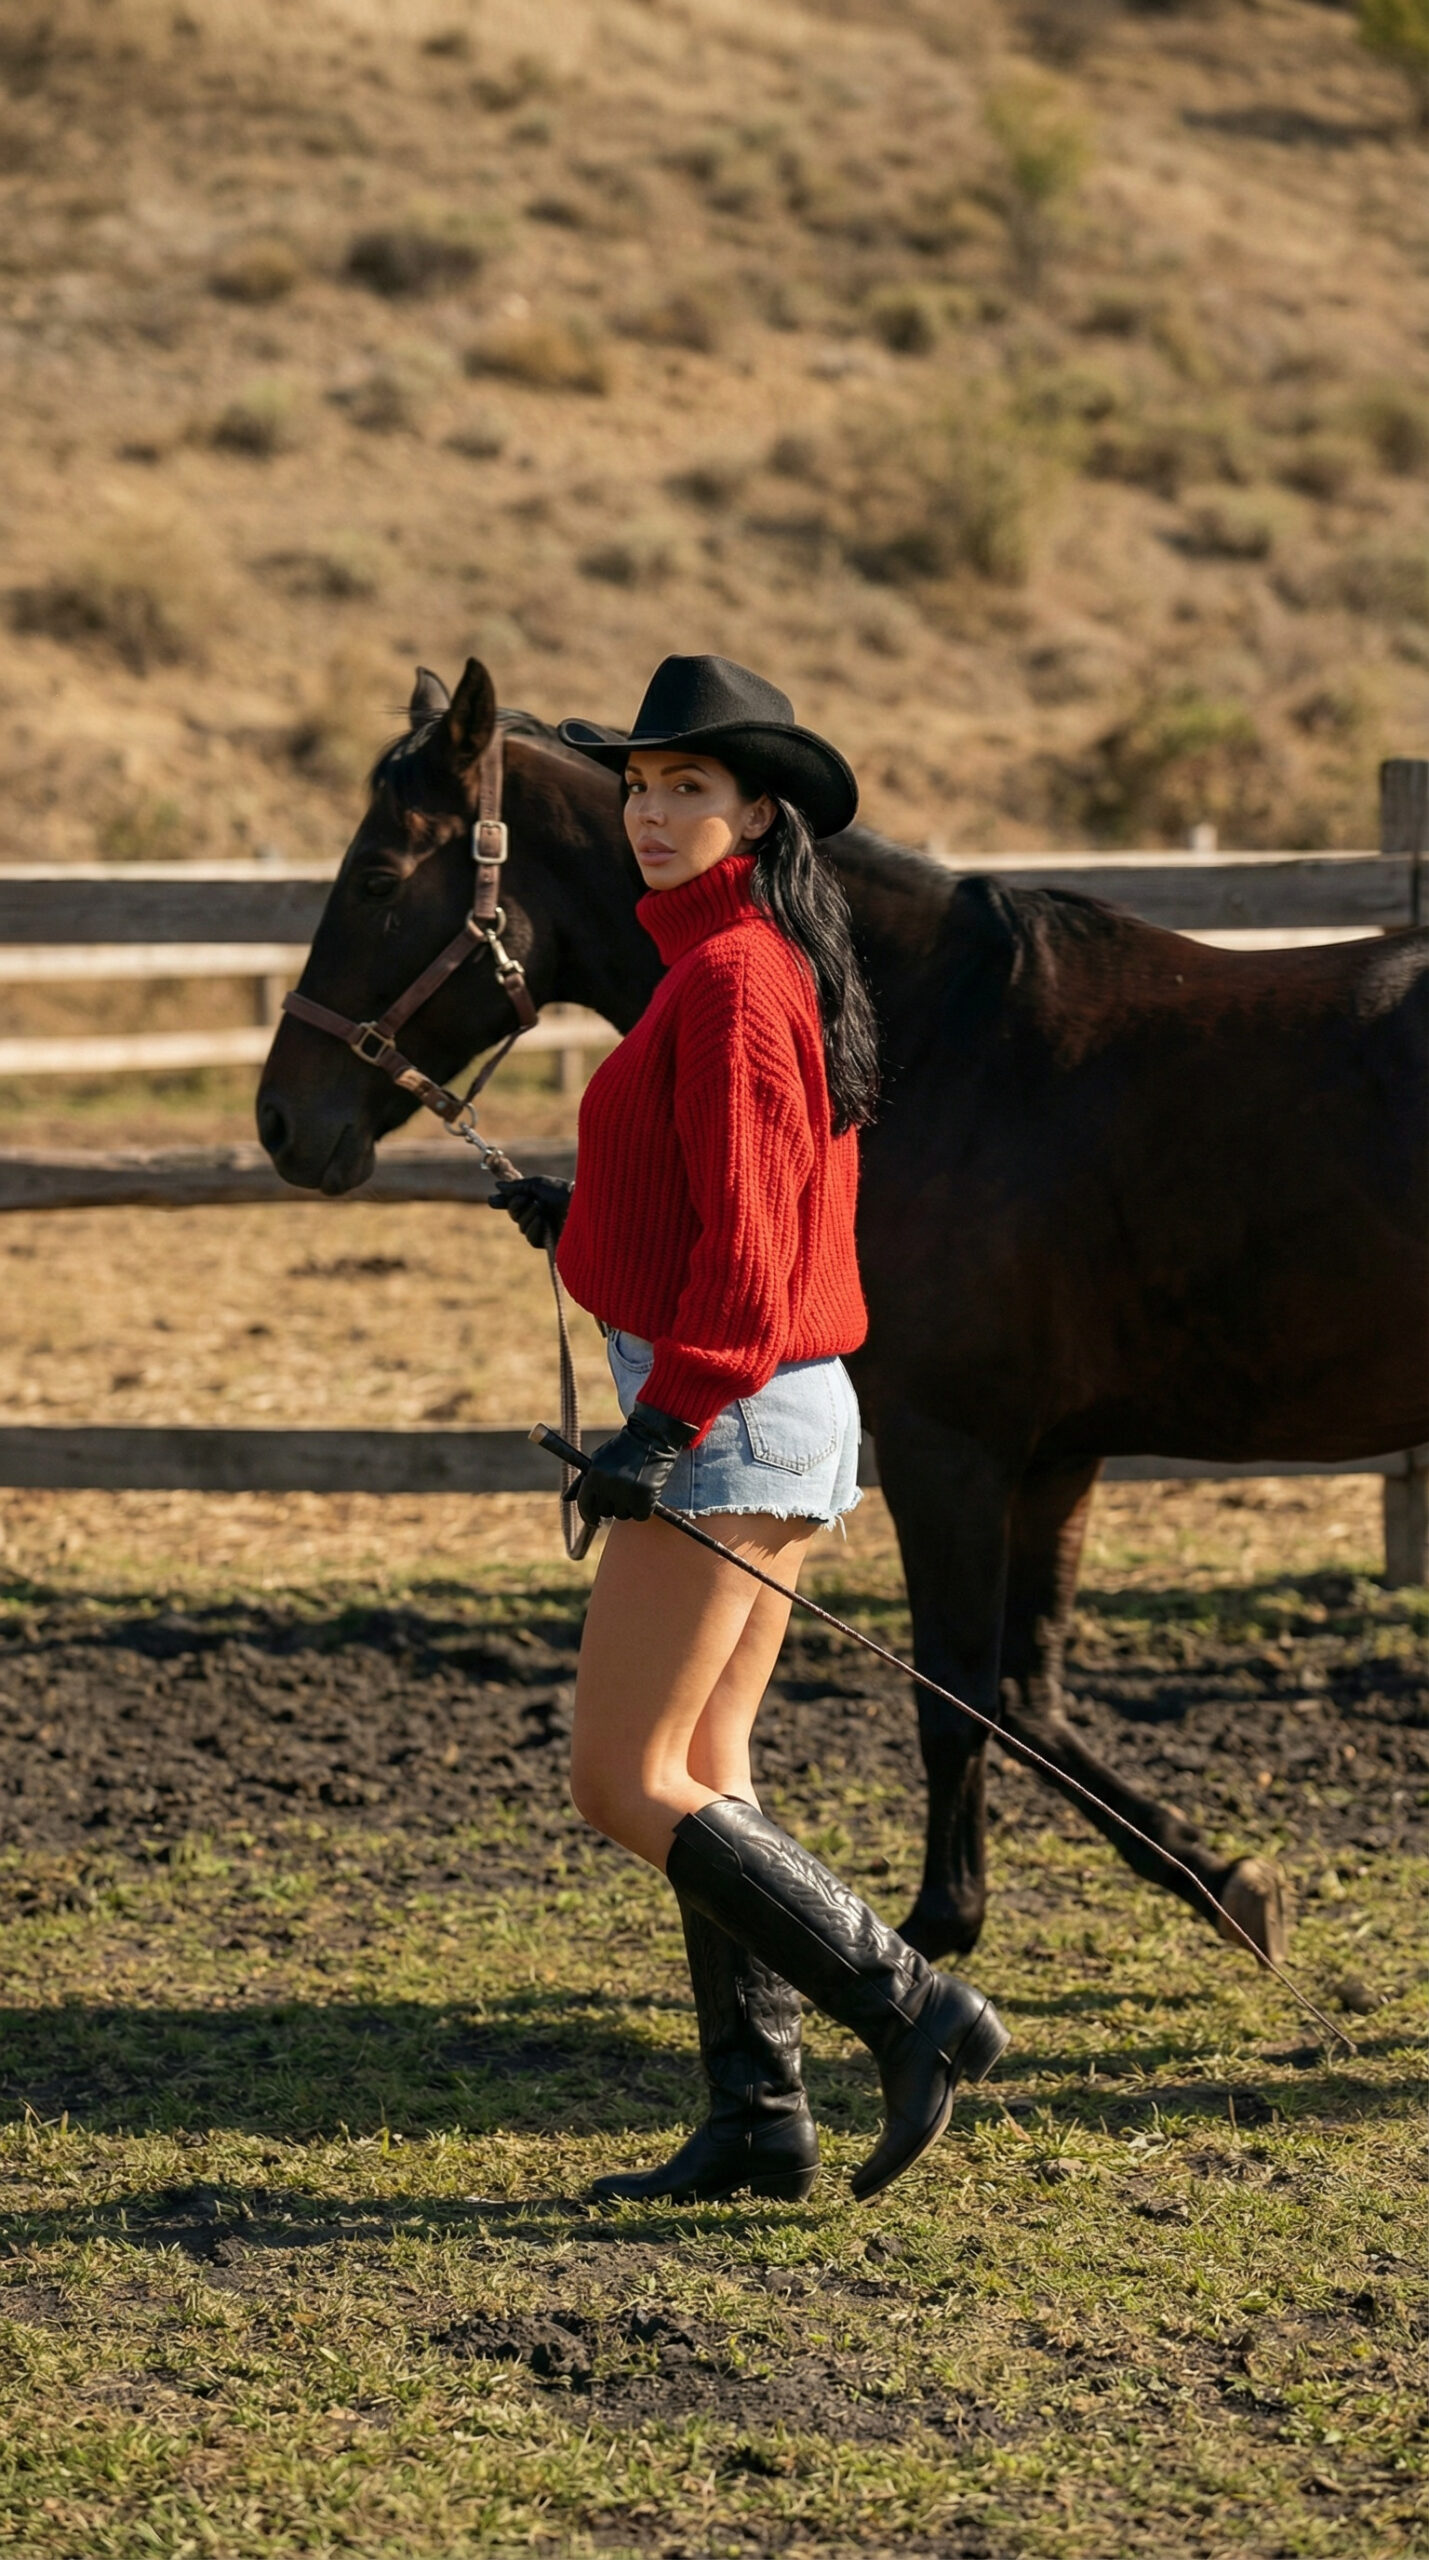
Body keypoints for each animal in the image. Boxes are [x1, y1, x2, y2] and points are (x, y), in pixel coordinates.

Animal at [257, 657, 1429, 1969]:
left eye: (375, 875)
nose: (282, 1121)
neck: (936, 1040)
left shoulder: (947, 1449)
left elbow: (958, 1692)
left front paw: (941, 1921)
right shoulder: (1057, 1455)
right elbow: (1030, 1694)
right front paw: (1222, 1877)